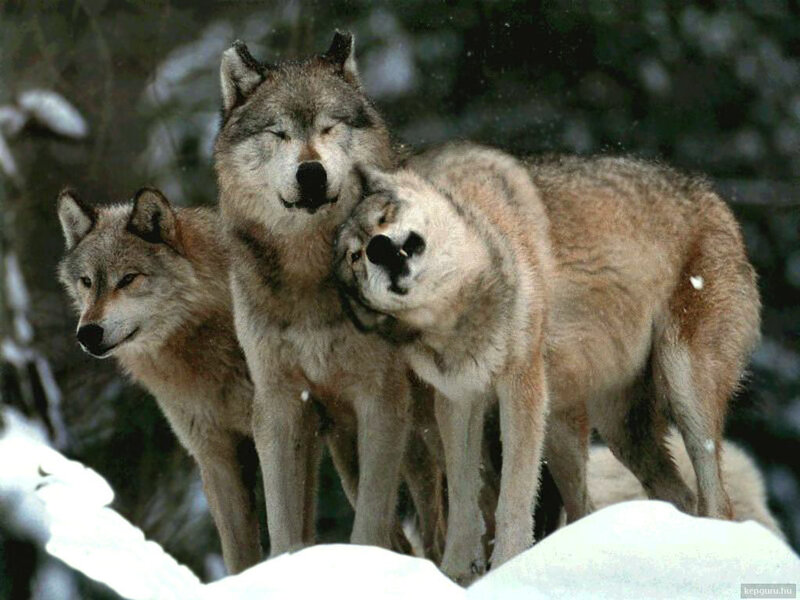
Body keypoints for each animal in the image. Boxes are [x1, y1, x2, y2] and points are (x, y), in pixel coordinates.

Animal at [213, 32, 444, 557]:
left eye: (329, 127)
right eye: (278, 133)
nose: (311, 173)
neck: (309, 277)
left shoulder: (382, 401)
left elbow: (369, 527)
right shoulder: (279, 404)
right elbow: (283, 527)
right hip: (349, 450)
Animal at [334, 142, 760, 581]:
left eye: (384, 217)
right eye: (354, 257)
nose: (378, 248)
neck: (462, 308)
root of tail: (715, 200)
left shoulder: (522, 385)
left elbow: (513, 498)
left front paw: (504, 568)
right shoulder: (458, 401)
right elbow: (464, 504)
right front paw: (454, 576)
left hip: (680, 392)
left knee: (717, 501)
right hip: (603, 430)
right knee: (669, 498)